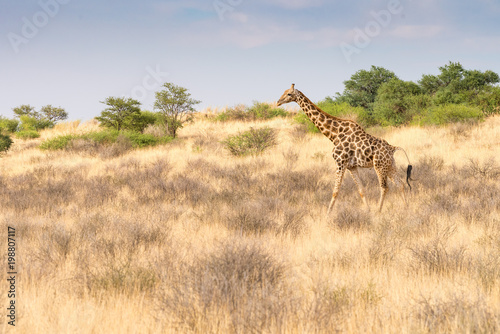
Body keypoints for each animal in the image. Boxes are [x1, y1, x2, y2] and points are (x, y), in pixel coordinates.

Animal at [276, 85, 412, 213]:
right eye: (283, 91)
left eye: (289, 94)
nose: (278, 102)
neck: (334, 135)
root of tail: (392, 148)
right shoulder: (351, 166)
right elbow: (361, 190)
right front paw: (367, 211)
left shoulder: (340, 162)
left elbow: (335, 191)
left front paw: (327, 215)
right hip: (389, 165)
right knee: (400, 184)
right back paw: (406, 208)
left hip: (379, 165)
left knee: (384, 187)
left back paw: (378, 211)